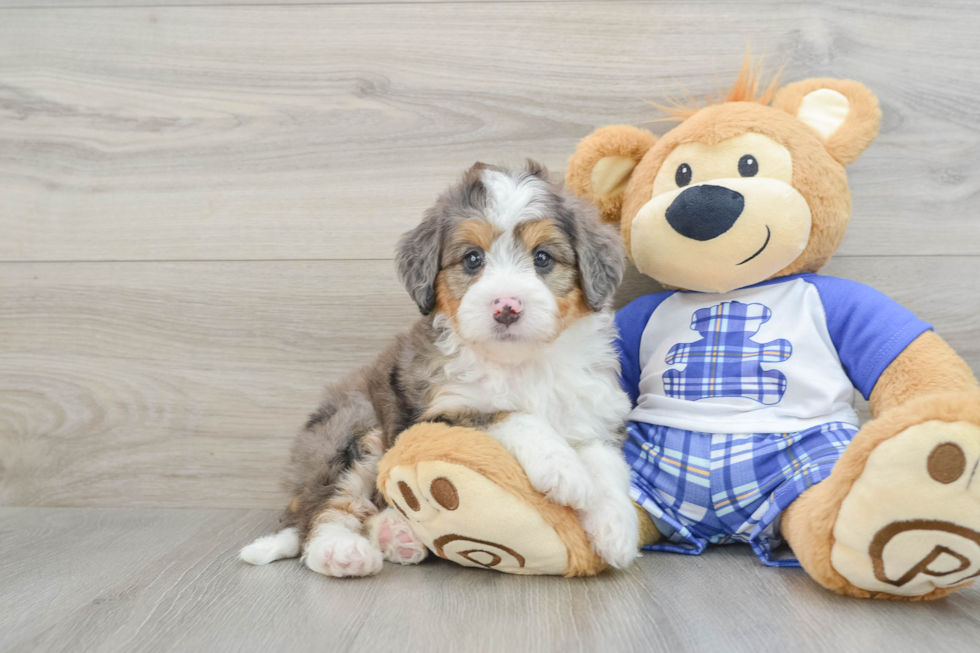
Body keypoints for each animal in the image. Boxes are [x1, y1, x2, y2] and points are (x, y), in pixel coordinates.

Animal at [241, 159, 640, 576]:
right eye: (473, 258)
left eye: (543, 257)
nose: (507, 307)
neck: (522, 363)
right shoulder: (437, 414)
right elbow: (512, 415)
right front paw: (563, 468)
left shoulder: (594, 412)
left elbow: (607, 461)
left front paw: (616, 530)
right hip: (354, 425)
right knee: (323, 509)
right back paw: (341, 551)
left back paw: (396, 536)